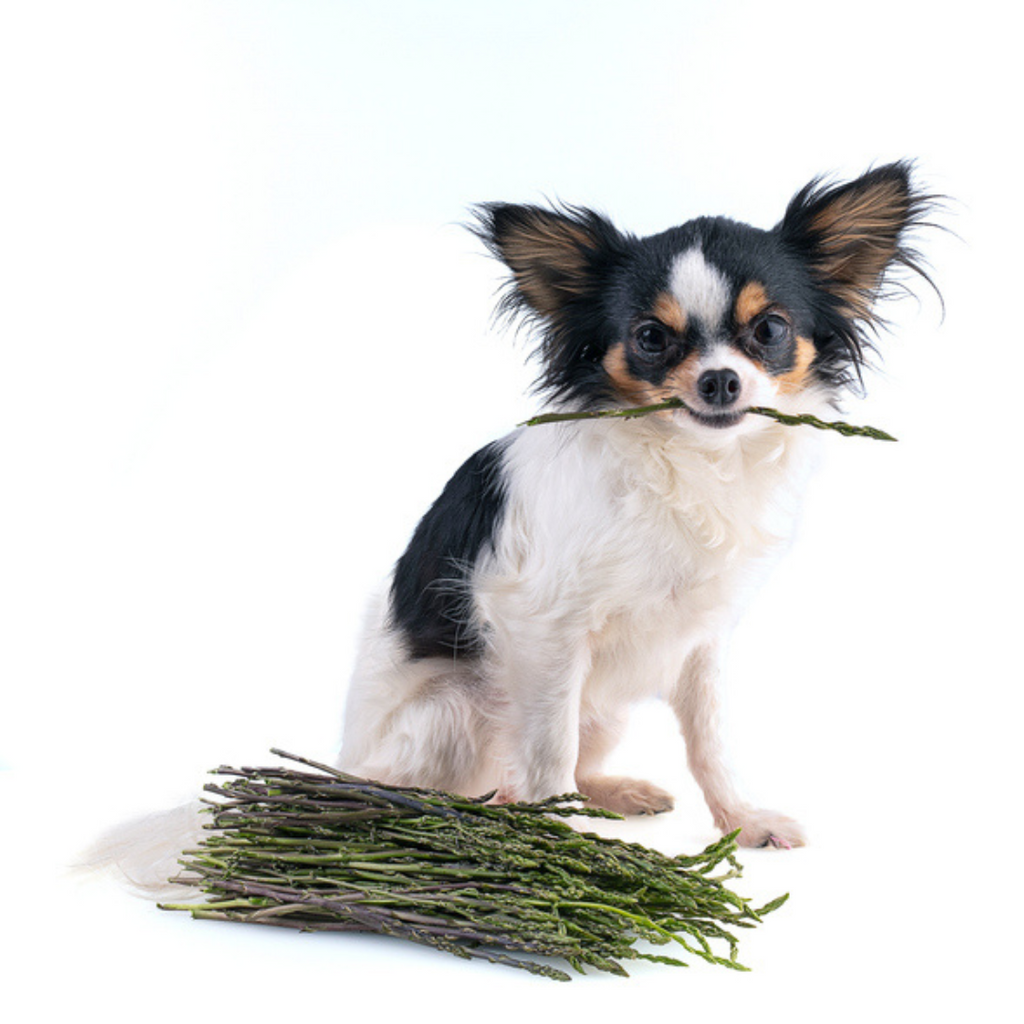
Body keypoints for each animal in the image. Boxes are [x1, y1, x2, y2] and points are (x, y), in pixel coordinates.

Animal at [337, 161, 937, 847]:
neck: (692, 461)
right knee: (469, 781)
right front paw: (561, 835)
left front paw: (741, 819)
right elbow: (548, 746)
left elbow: (709, 741)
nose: (720, 380)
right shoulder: (543, 629)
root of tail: (346, 768)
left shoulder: (701, 641)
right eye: (651, 338)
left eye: (770, 329)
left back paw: (611, 794)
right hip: (455, 710)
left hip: (603, 713)